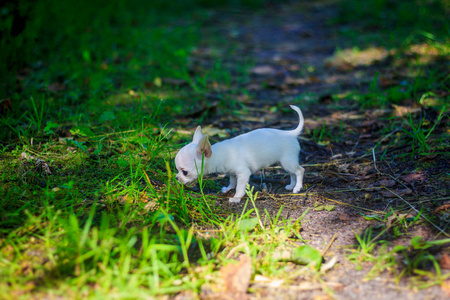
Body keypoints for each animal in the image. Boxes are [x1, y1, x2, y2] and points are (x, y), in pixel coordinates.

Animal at [176, 104, 306, 203]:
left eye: (185, 172)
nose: (176, 178)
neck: (218, 155)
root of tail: (290, 133)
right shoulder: (232, 173)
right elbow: (232, 182)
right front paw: (228, 189)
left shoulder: (243, 173)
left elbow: (239, 187)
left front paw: (236, 197)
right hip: (284, 163)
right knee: (292, 173)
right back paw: (291, 186)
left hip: (287, 161)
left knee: (300, 170)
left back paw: (297, 188)